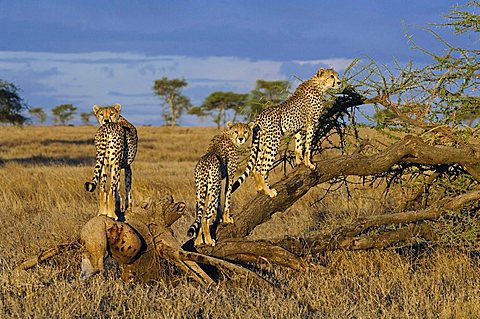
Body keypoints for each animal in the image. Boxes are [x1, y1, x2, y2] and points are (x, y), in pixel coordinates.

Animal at [232, 68, 342, 198]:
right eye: (331, 76)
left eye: (337, 75)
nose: (339, 82)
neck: (319, 85)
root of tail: (259, 116)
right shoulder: (311, 123)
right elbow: (308, 146)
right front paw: (309, 163)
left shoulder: (298, 128)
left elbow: (299, 146)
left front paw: (299, 162)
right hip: (273, 142)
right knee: (262, 169)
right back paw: (269, 191)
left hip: (262, 143)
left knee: (256, 167)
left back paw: (260, 188)